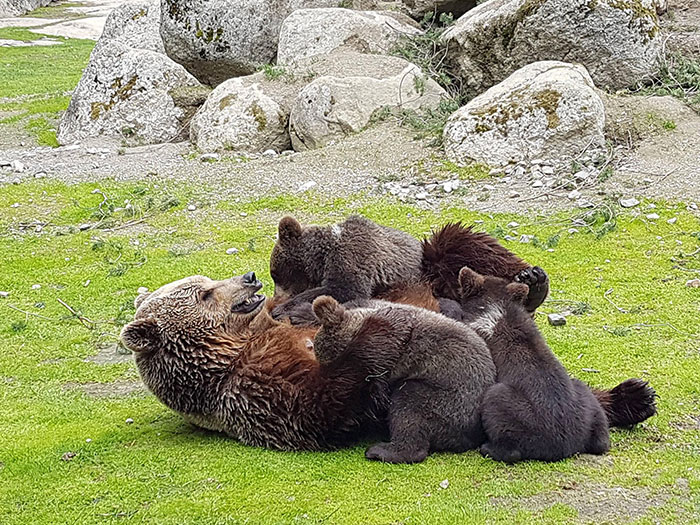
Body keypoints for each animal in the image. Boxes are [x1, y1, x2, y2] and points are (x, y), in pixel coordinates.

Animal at [270, 216, 550, 322]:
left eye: (275, 273)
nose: (275, 296)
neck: (325, 252)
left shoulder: (354, 255)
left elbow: (343, 289)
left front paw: (286, 308)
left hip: (434, 257)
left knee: (466, 244)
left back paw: (533, 280)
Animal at [456, 266, 656, 463]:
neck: (494, 305)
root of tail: (569, 445)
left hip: (500, 398)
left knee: (511, 446)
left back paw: (488, 449)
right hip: (584, 399)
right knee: (601, 438)